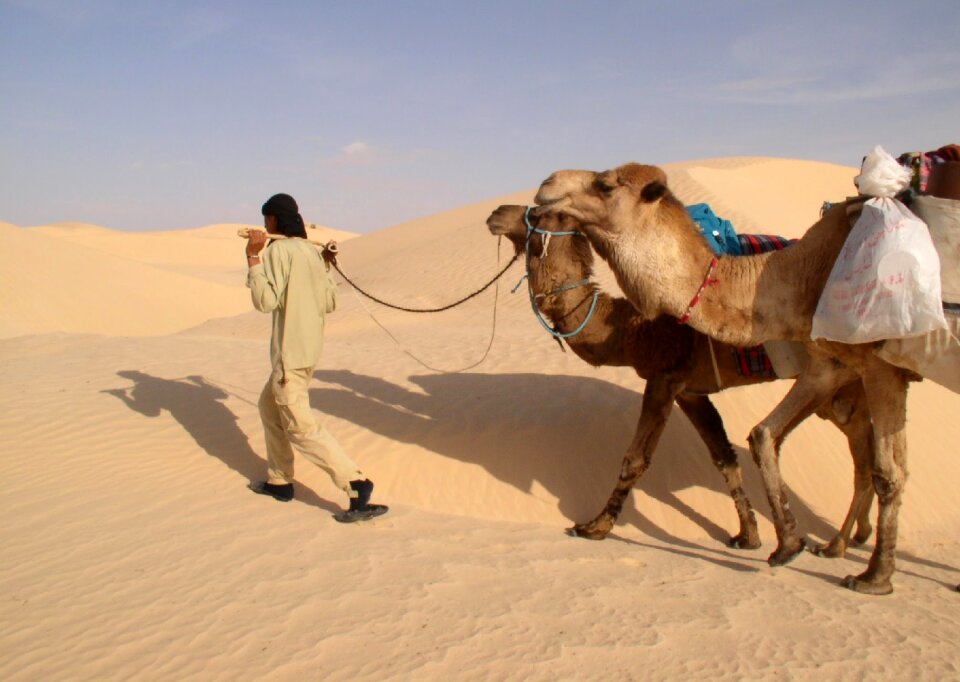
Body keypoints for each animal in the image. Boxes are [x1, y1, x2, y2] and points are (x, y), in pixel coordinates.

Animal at [488, 205, 876, 556]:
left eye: (539, 214)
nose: (496, 213)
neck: (631, 329)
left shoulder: (664, 377)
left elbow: (635, 459)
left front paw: (594, 527)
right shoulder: (691, 391)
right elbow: (724, 458)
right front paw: (747, 536)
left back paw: (842, 548)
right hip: (845, 390)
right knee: (868, 453)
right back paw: (853, 541)